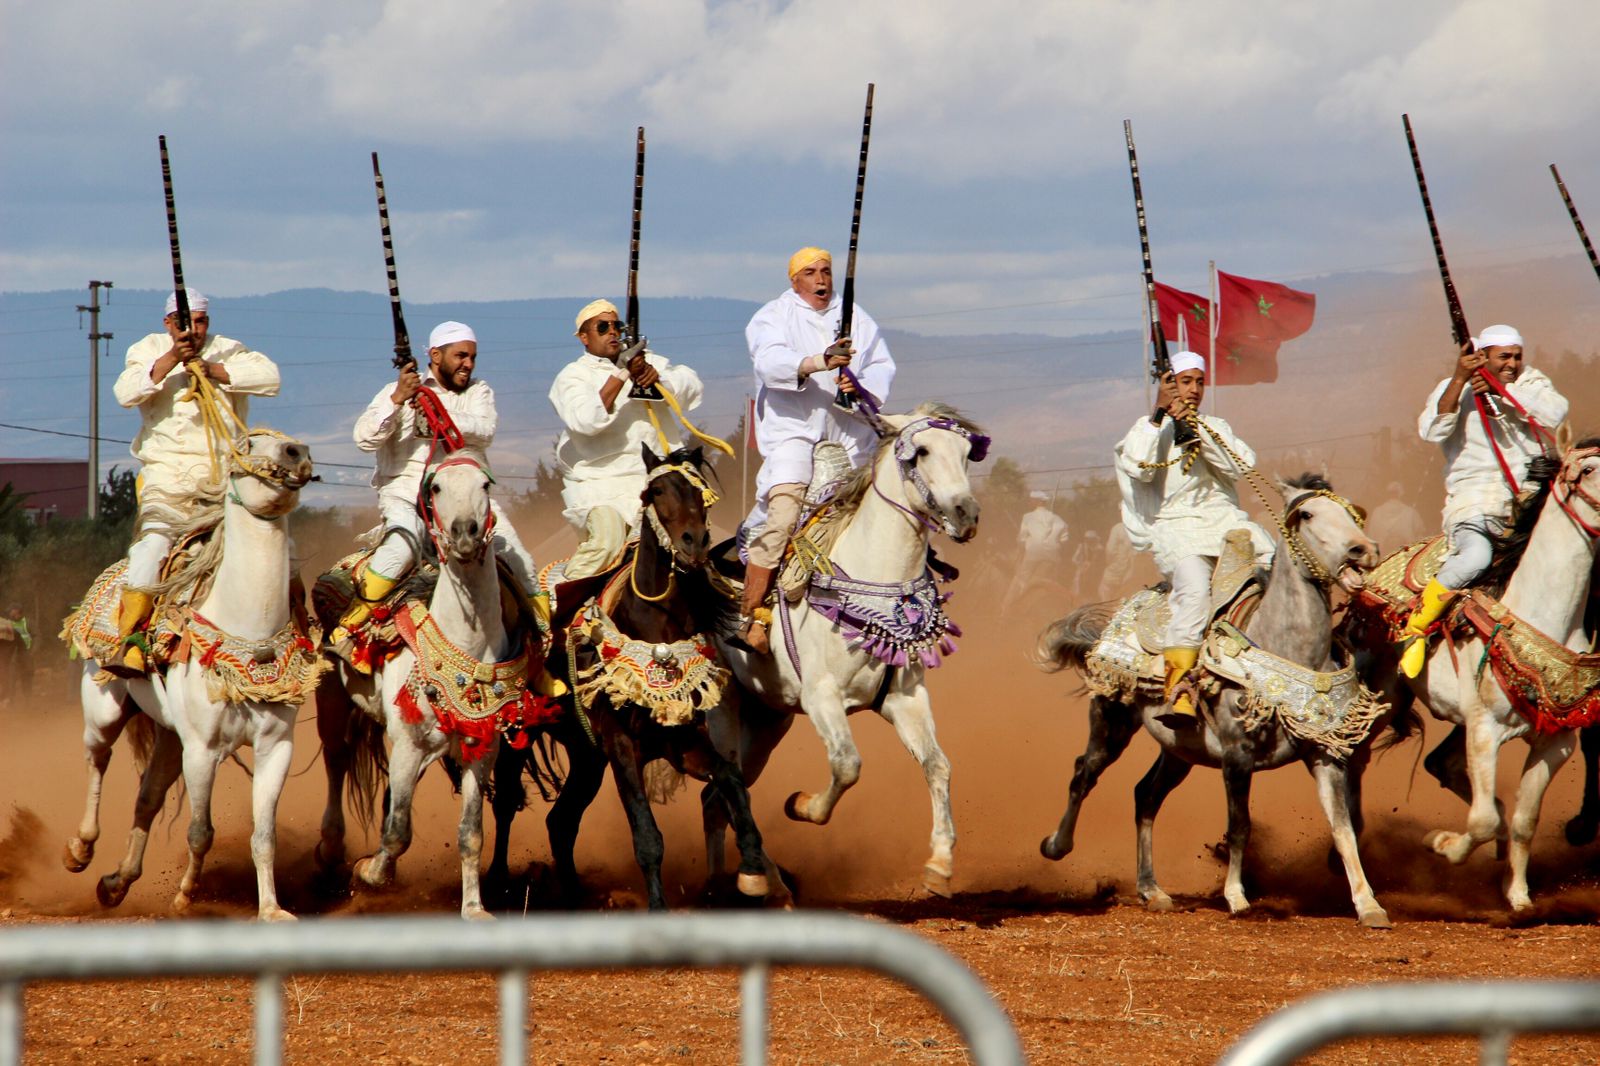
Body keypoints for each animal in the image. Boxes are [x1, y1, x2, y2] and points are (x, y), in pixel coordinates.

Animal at [64, 428, 316, 915]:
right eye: (247, 444)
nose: (297, 452)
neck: (246, 628)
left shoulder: (276, 747)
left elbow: (264, 836)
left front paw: (272, 909)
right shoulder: (202, 749)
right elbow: (201, 830)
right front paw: (184, 897)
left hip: (167, 733)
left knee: (147, 796)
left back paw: (117, 882)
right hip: (104, 710)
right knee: (97, 760)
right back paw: (80, 850)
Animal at [713, 400, 985, 896]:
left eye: (965, 453)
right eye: (919, 452)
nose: (965, 514)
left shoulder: (905, 698)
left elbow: (938, 765)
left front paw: (939, 863)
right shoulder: (821, 697)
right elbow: (847, 765)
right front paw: (800, 804)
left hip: (767, 718)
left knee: (719, 795)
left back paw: (752, 880)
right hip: (721, 711)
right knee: (725, 786)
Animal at [1030, 476, 1395, 928]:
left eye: (1353, 512)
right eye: (1308, 514)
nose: (1363, 549)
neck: (1287, 646)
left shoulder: (1324, 753)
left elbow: (1343, 829)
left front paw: (1369, 905)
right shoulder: (1237, 756)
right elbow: (1240, 826)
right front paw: (1236, 896)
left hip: (1179, 750)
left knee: (1145, 796)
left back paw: (1152, 890)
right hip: (1111, 721)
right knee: (1084, 774)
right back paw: (1056, 845)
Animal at [1350, 438, 1600, 902]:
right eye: (1590, 469)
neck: (1540, 612)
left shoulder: (1556, 742)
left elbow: (1523, 820)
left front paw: (1518, 895)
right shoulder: (1485, 730)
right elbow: (1482, 821)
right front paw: (1440, 843)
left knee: (1440, 765)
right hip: (1384, 697)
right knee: (1352, 760)